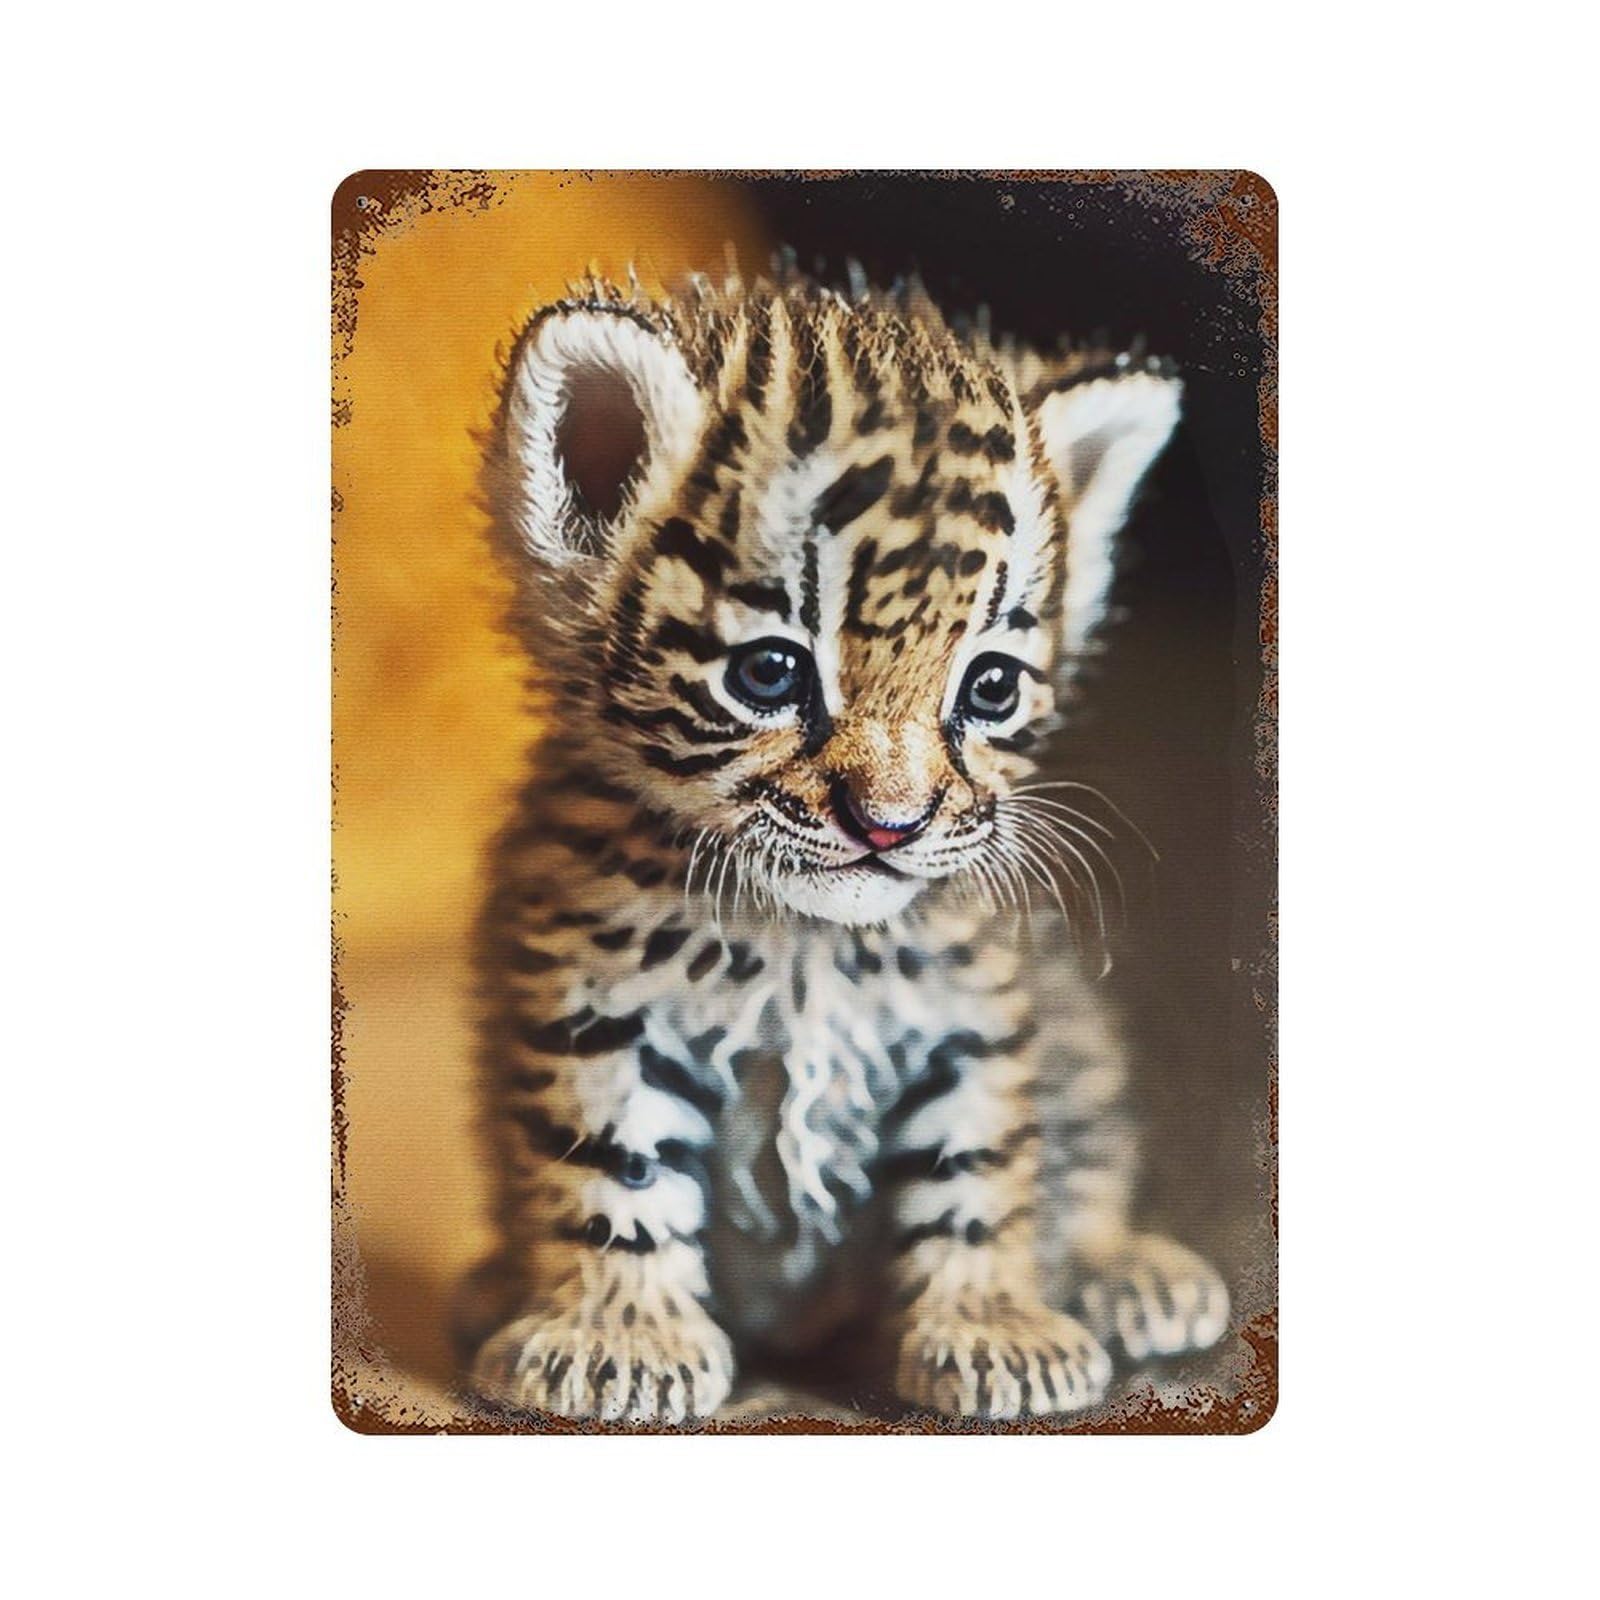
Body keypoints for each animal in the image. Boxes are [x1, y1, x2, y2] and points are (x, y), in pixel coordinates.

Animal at [459, 265, 1229, 1424]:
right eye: (770, 673)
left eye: (988, 687)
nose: (891, 821)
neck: (801, 942)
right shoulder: (593, 997)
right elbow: (612, 1164)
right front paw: (618, 1338)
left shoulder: (973, 1004)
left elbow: (980, 1165)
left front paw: (992, 1328)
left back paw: (1125, 1271)